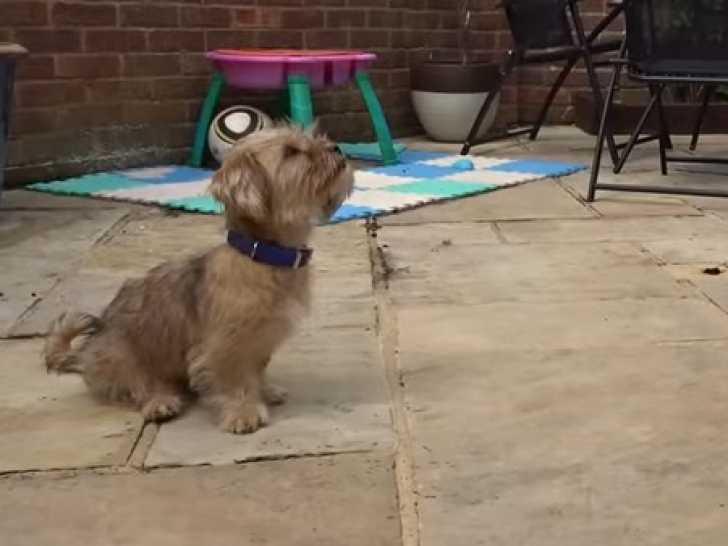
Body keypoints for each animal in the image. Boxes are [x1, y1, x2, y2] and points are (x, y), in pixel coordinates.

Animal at [44, 123, 354, 434]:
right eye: (290, 152)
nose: (337, 148)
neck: (262, 257)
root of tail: (84, 355)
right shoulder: (224, 346)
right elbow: (235, 380)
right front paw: (243, 412)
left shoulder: (260, 342)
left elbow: (257, 371)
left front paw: (265, 391)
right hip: (122, 356)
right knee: (139, 386)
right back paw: (160, 402)